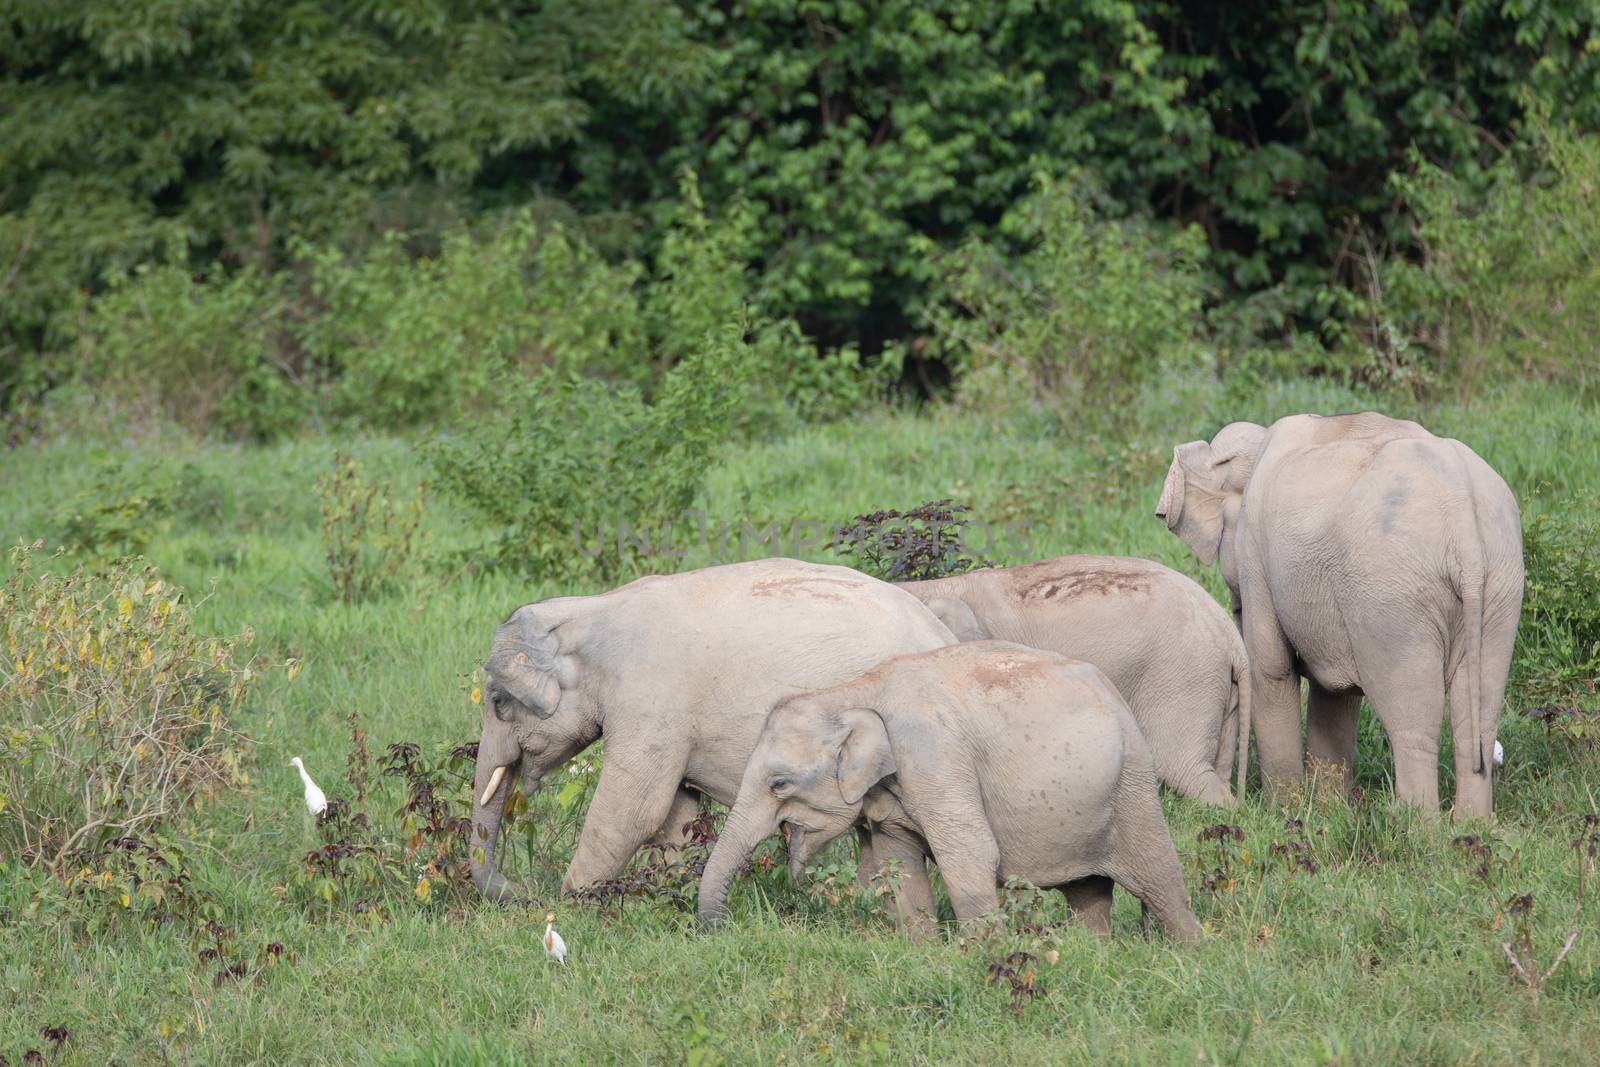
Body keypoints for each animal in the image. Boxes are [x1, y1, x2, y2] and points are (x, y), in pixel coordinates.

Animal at [467, 559, 953, 902]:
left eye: (499, 703)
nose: (522, 893)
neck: (589, 608)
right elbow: (675, 814)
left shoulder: (651, 698)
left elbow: (634, 809)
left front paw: (570, 907)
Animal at [697, 639, 1203, 940]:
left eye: (779, 784)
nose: (722, 930)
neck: (851, 691)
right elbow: (898, 863)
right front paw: (920, 949)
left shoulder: (936, 758)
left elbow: (971, 852)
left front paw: (984, 955)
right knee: (1087, 891)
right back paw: (1089, 950)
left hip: (1132, 783)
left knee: (1159, 878)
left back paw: (1187, 950)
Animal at [1158, 412, 1516, 812]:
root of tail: (1462, 518)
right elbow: (1335, 693)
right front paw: (1328, 811)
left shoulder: (1255, 555)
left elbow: (1271, 670)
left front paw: (1284, 811)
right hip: (1499, 586)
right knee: (1478, 715)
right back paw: (1470, 823)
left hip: (1392, 598)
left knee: (1411, 721)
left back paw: (1416, 824)